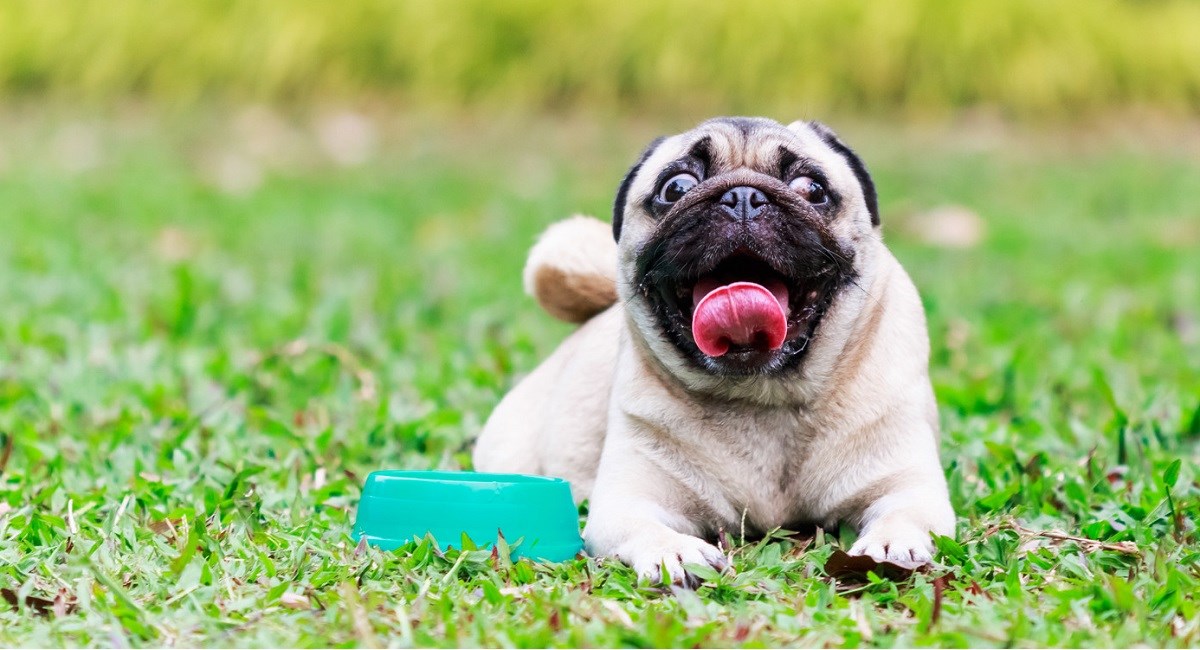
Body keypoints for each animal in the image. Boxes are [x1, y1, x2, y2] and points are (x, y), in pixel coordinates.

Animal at [472, 117, 950, 585]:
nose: (743, 197)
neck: (762, 395)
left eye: (812, 189)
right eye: (676, 188)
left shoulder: (907, 483)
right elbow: (645, 526)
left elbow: (906, 512)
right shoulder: (627, 500)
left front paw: (889, 544)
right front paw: (676, 552)